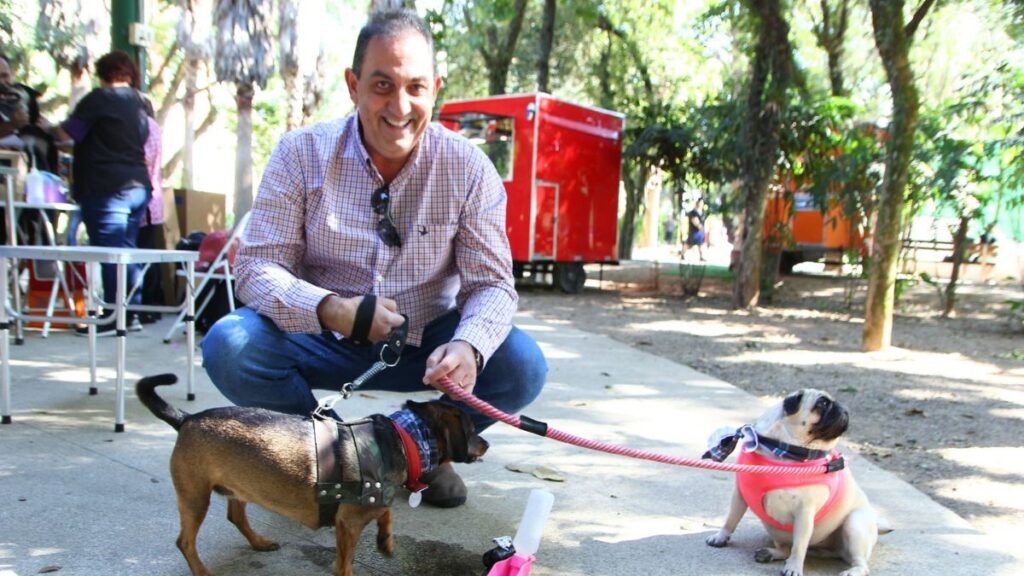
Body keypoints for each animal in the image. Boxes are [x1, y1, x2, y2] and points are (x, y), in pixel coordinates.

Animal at [137, 373, 487, 573]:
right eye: (471, 430)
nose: (485, 442)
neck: (406, 439)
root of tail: (186, 418)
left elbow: (386, 511)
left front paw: (386, 541)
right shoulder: (347, 524)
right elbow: (345, 564)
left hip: (240, 485)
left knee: (235, 515)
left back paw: (259, 542)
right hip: (195, 496)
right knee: (185, 542)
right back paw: (202, 571)